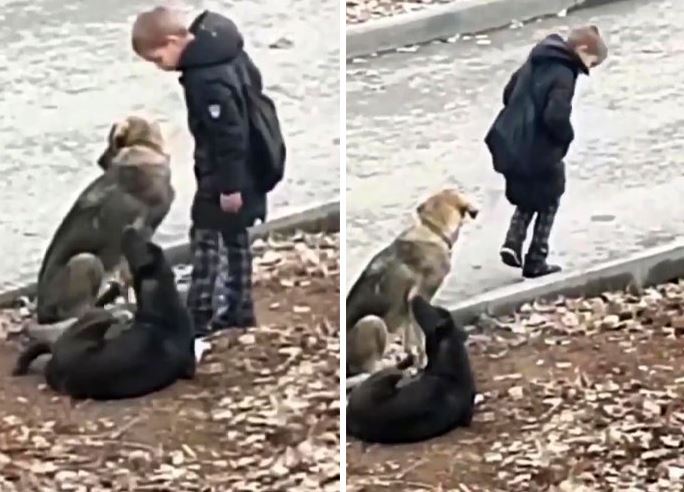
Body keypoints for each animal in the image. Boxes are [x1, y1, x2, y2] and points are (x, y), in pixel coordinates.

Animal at [35, 115, 175, 322]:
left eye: (111, 142)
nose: (99, 161)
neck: (144, 147)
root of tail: (40, 310)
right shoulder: (139, 232)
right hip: (87, 261)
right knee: (75, 314)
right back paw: (112, 312)